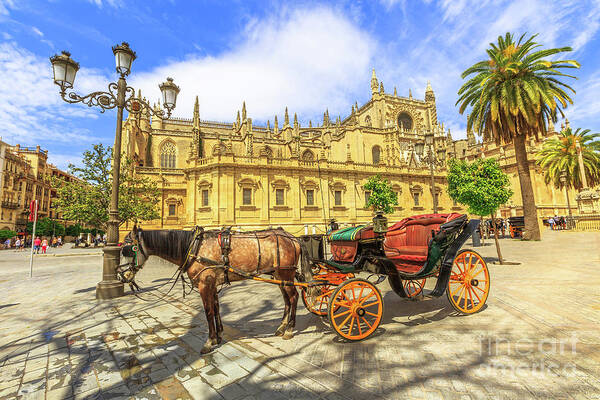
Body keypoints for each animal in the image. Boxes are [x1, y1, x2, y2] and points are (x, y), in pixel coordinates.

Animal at [119, 225, 312, 354]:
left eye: (128, 249)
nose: (122, 276)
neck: (194, 247)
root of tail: (292, 237)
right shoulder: (212, 285)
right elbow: (217, 308)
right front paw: (218, 336)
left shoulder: (205, 284)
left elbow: (208, 311)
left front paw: (209, 341)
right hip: (279, 276)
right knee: (287, 299)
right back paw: (281, 327)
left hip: (286, 274)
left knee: (293, 298)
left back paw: (289, 330)